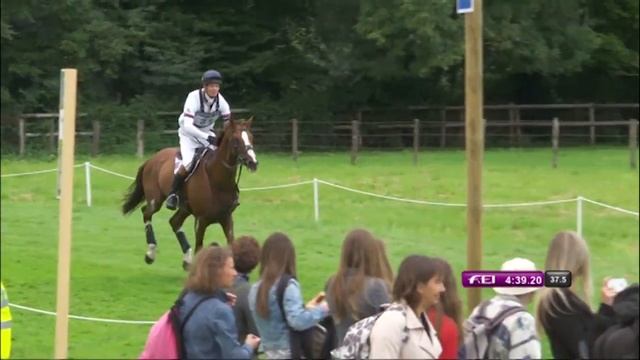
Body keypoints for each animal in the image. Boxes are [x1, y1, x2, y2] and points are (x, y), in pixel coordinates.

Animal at [122, 116, 258, 268]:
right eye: (236, 140)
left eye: (251, 137)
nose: (253, 162)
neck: (217, 179)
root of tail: (152, 159)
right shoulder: (201, 220)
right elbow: (200, 247)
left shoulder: (226, 218)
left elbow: (231, 245)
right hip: (155, 200)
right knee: (147, 213)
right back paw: (150, 253)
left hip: (185, 208)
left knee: (174, 222)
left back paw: (187, 258)